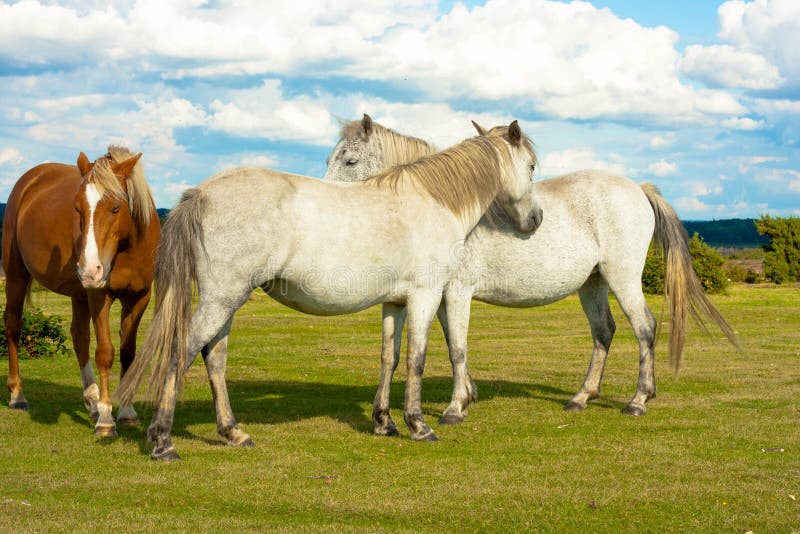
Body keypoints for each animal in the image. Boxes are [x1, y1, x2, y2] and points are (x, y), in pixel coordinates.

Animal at [3, 147, 160, 436]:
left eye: (115, 207)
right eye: (77, 208)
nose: (89, 270)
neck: (128, 249)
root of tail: (28, 181)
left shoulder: (139, 298)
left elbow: (127, 351)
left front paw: (127, 412)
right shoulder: (99, 295)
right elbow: (106, 353)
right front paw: (107, 420)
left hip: (79, 294)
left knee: (79, 338)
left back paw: (91, 400)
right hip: (17, 276)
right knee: (13, 326)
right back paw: (17, 396)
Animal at [114, 121, 542, 460]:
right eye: (532, 166)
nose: (536, 219)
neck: (430, 201)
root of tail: (202, 192)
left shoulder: (395, 303)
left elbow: (389, 357)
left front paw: (384, 422)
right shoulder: (425, 295)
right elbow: (416, 360)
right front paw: (418, 425)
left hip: (226, 301)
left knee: (214, 357)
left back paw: (232, 432)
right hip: (222, 299)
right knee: (180, 352)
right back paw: (163, 441)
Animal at [324, 114, 741, 436]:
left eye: (349, 161)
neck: (447, 204)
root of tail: (637, 188)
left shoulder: (455, 291)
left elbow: (456, 347)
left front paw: (456, 408)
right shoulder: (437, 295)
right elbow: (448, 344)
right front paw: (468, 394)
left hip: (622, 279)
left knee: (644, 328)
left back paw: (639, 400)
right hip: (593, 284)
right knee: (604, 332)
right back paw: (582, 397)